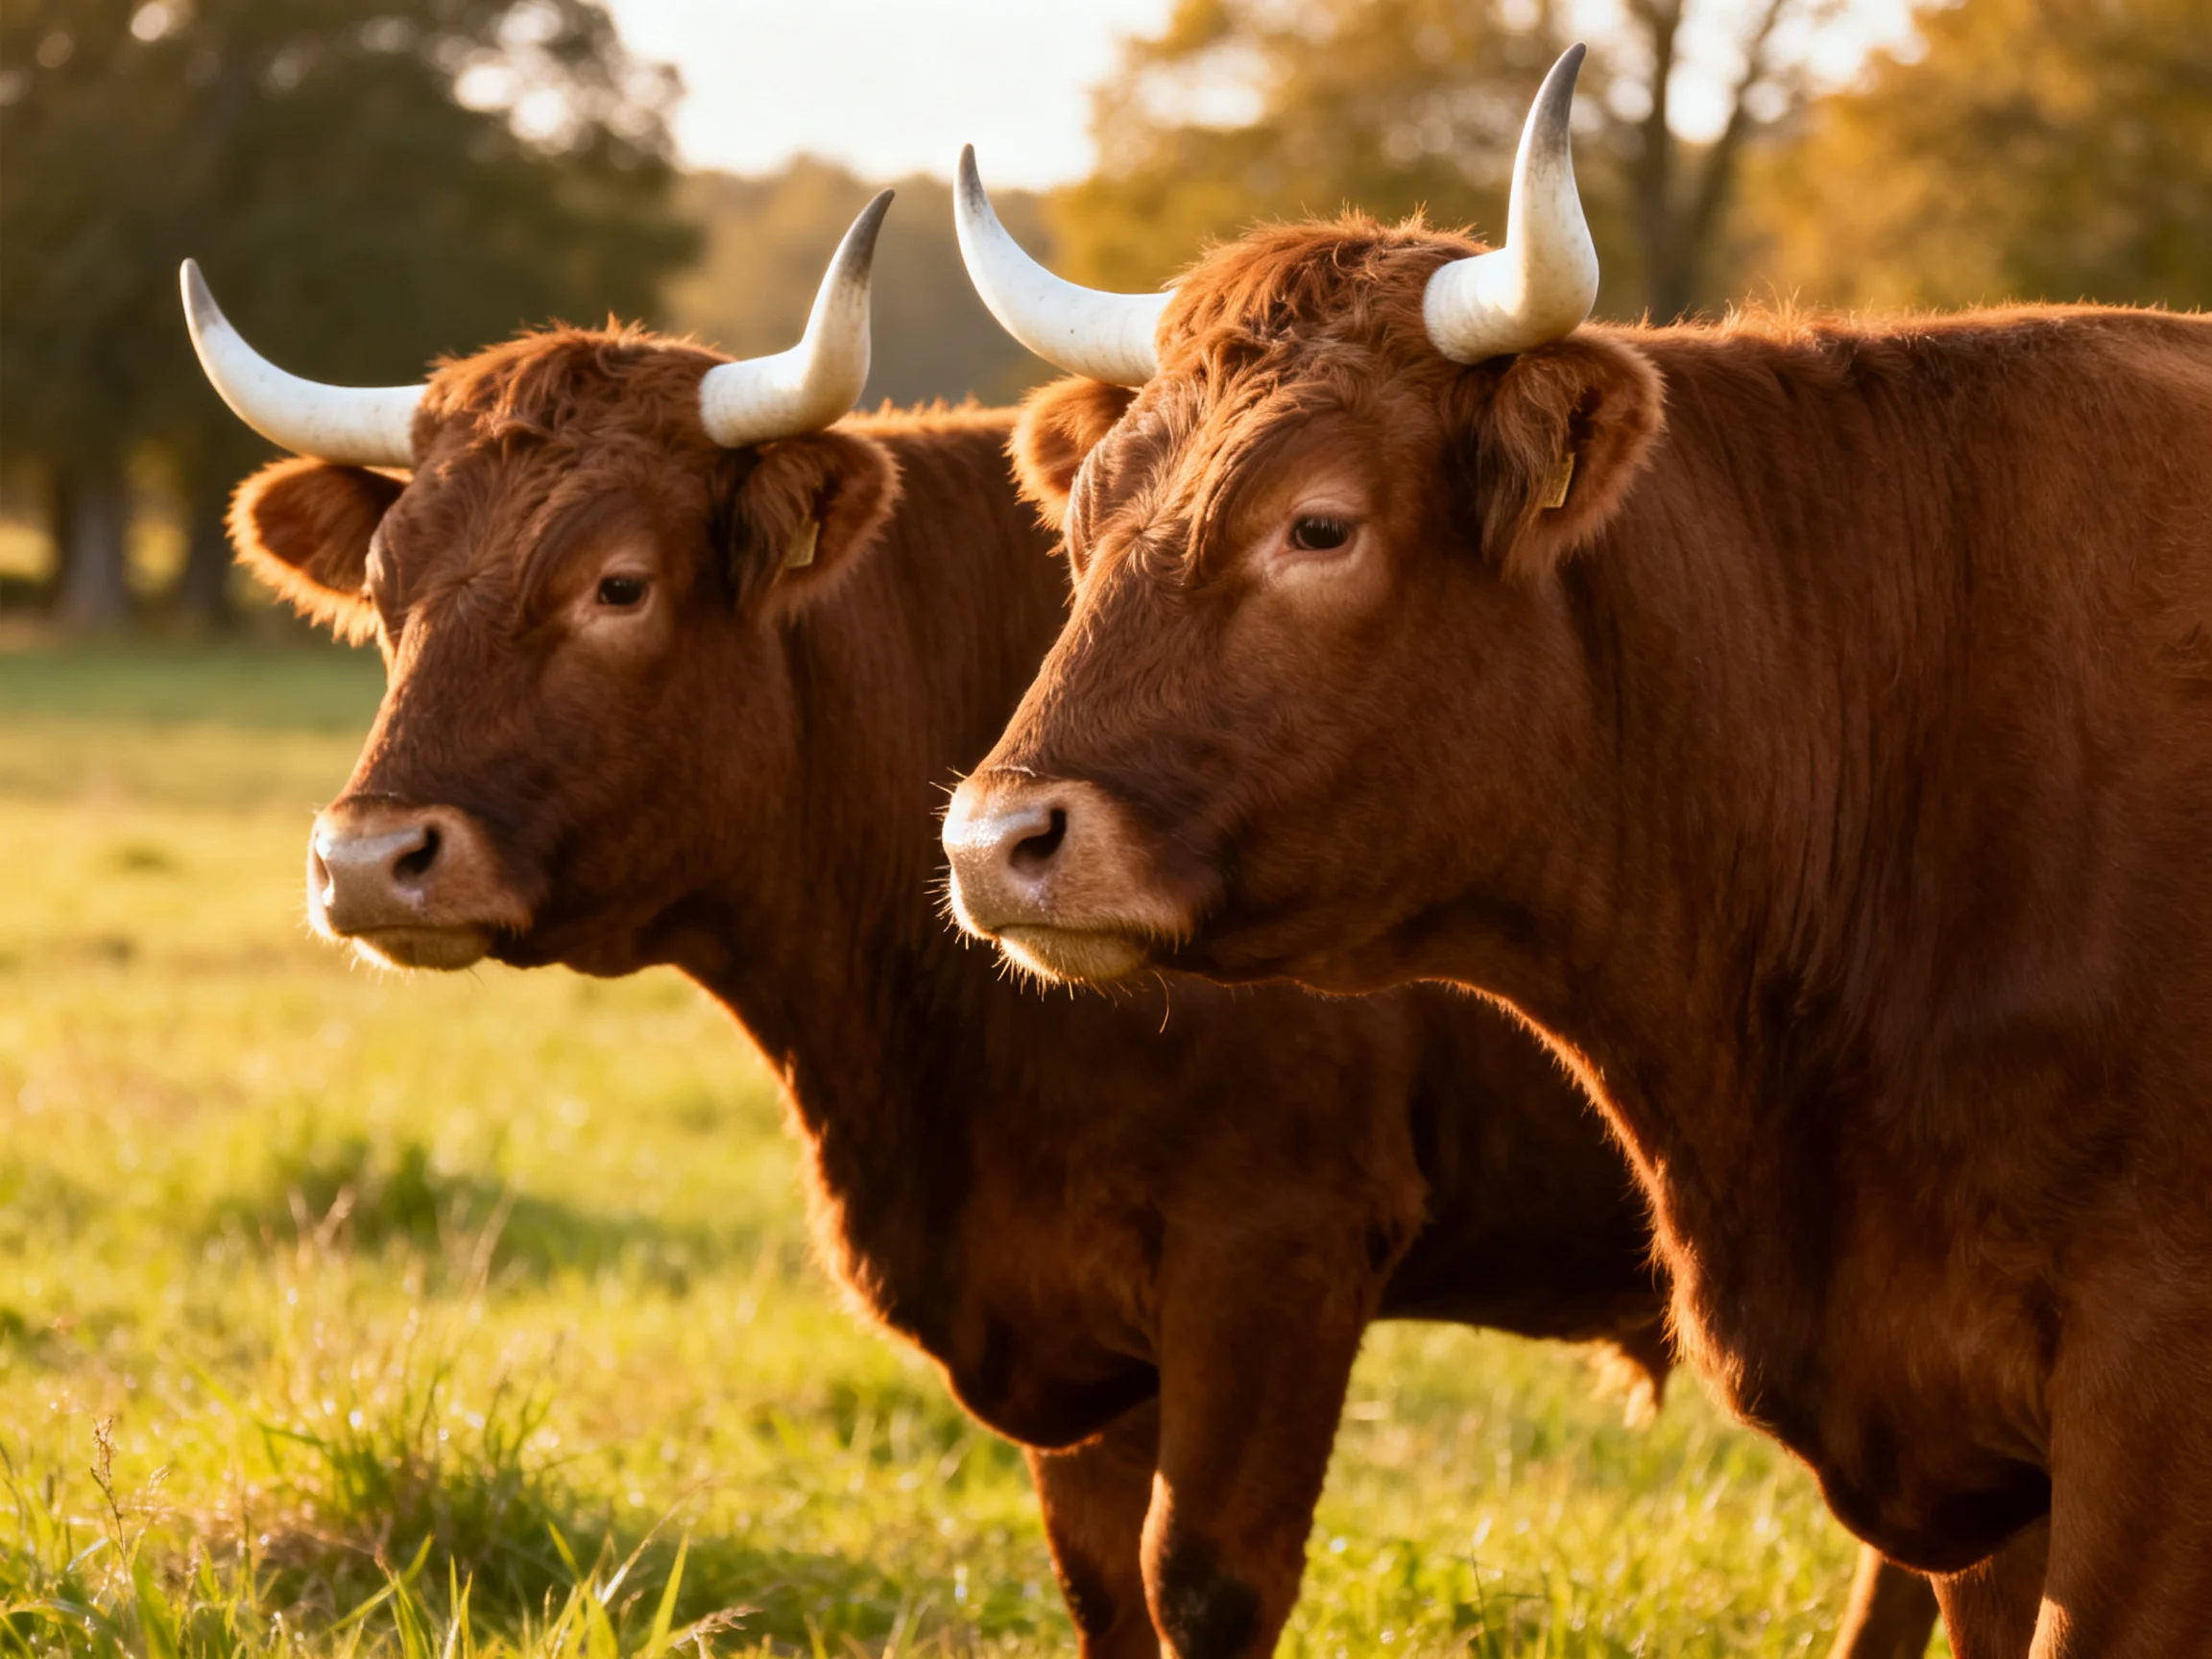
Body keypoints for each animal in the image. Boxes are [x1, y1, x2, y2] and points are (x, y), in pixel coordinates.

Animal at [183, 196, 1937, 1659]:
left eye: (617, 582)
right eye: (390, 587)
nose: (370, 857)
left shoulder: (1274, 1248)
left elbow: (1203, 1582)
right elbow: (1105, 1593)